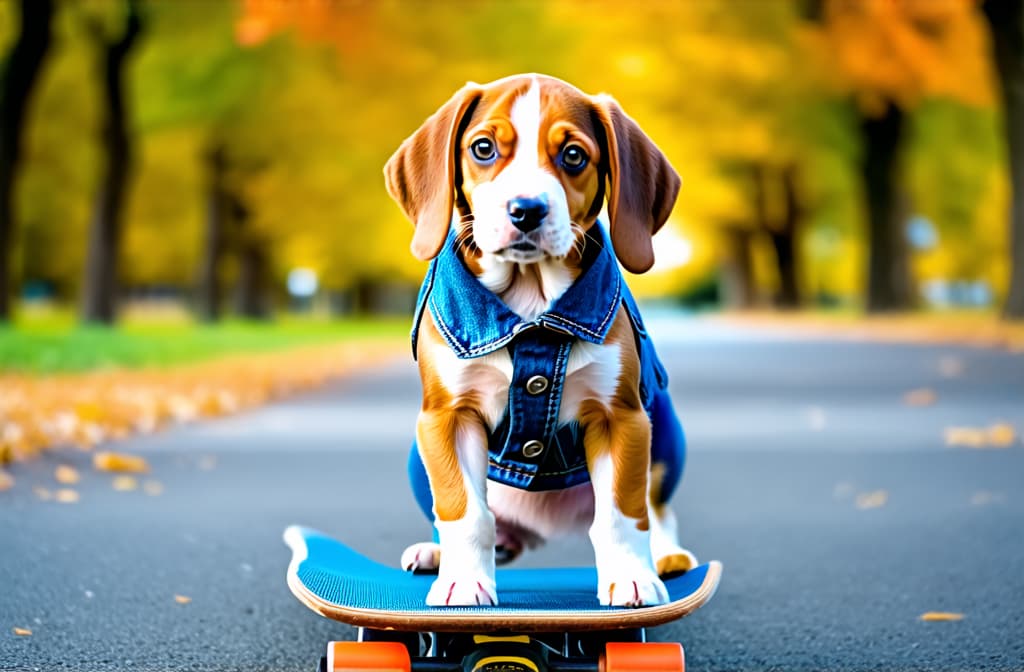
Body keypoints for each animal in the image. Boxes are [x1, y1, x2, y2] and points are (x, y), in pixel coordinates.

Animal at [385, 73, 696, 610]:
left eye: (573, 155)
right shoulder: (446, 418)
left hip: (665, 434)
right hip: (416, 460)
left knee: (656, 507)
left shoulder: (622, 418)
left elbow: (622, 513)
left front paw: (630, 578)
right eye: (483, 148)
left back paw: (668, 555)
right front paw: (463, 581)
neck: (530, 299)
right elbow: (464, 512)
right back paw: (437, 551)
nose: (526, 210)